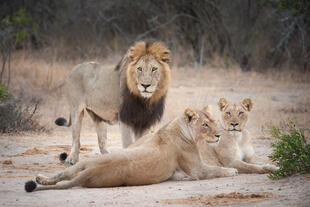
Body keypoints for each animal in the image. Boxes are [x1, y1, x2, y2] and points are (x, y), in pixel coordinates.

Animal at [24, 106, 237, 192]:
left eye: (214, 121)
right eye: (205, 125)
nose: (219, 135)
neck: (179, 128)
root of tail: (93, 169)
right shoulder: (197, 170)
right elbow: (217, 170)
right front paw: (232, 170)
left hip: (83, 164)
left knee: (64, 174)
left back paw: (40, 179)